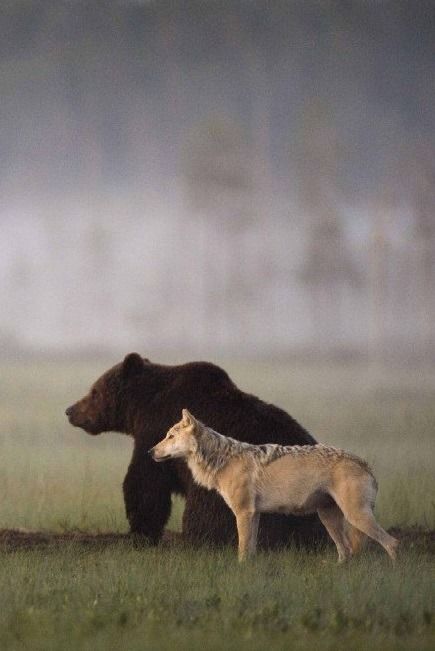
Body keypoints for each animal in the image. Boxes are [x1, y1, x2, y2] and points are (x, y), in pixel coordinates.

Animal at [66, 354, 328, 548]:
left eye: (94, 392)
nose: (70, 410)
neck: (143, 406)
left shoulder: (155, 432)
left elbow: (145, 483)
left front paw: (140, 532)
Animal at [152, 410, 400, 564]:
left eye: (170, 436)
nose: (150, 451)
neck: (222, 460)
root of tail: (365, 464)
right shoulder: (254, 515)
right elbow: (250, 550)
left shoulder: (244, 513)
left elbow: (242, 549)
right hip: (329, 519)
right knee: (346, 551)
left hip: (355, 517)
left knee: (392, 543)